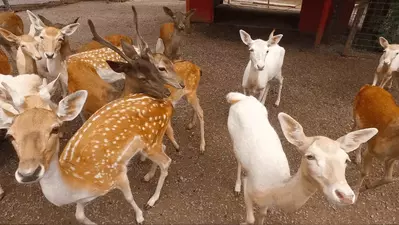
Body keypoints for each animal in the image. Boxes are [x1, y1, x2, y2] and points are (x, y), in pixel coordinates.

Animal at [227, 92, 380, 225]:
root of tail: (241, 98)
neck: (275, 190)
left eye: (346, 160)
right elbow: (250, 219)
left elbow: (262, 215)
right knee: (238, 160)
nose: (346, 196)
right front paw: (242, 221)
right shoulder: (249, 187)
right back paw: (237, 187)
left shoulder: (265, 204)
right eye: (310, 156)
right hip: (232, 135)